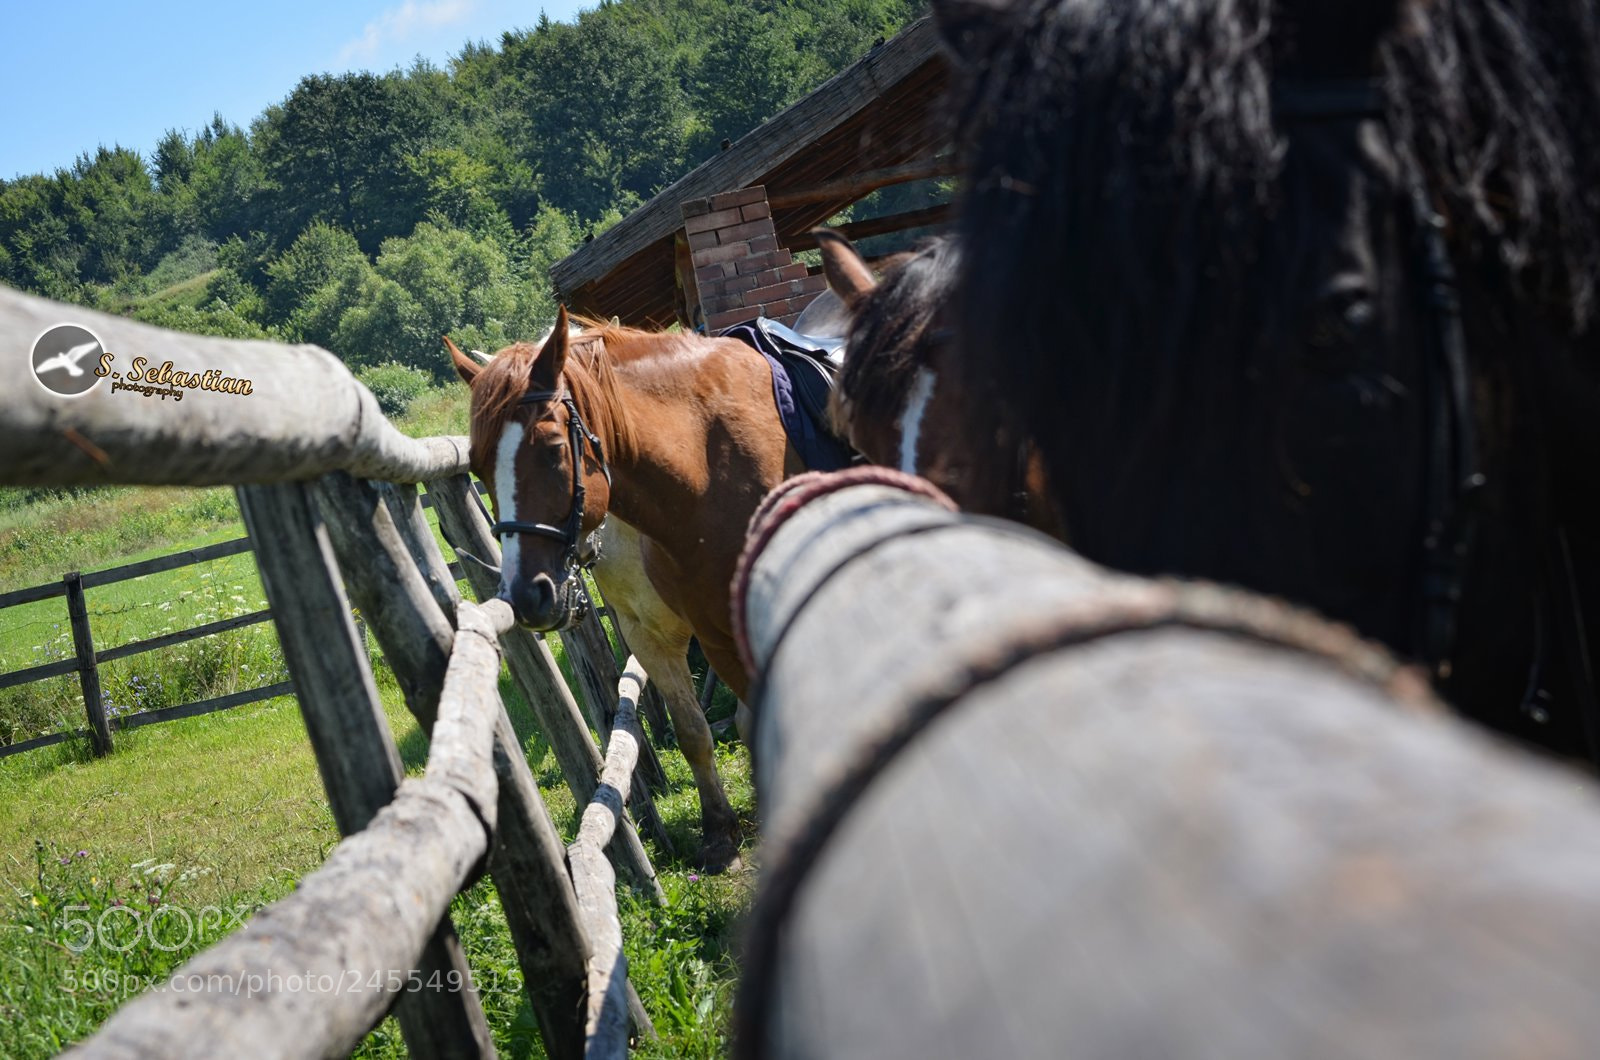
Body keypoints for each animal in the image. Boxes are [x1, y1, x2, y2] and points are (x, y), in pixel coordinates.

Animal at [448, 307, 803, 869]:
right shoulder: (653, 634)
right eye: (479, 465)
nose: (528, 593)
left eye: (554, 450)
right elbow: (693, 730)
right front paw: (719, 831)